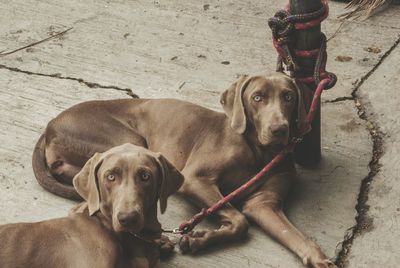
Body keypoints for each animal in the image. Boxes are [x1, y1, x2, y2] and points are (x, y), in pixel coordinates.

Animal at [32, 72, 338, 266]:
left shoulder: (264, 204)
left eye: (288, 97)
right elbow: (239, 220)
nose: (279, 129)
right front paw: (200, 239)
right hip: (129, 142)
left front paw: (320, 259)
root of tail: (50, 126)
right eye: (258, 97)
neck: (259, 152)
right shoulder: (195, 180)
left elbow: (294, 236)